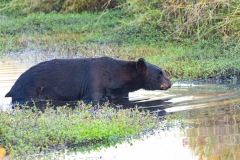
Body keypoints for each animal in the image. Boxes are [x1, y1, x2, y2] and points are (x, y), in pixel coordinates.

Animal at [4, 57, 172, 103]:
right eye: (160, 73)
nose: (170, 83)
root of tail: (13, 87)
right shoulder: (96, 82)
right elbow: (93, 97)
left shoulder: (119, 91)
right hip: (30, 90)